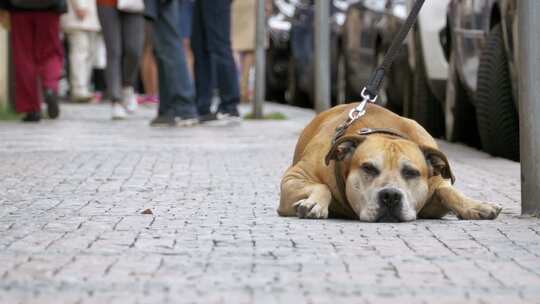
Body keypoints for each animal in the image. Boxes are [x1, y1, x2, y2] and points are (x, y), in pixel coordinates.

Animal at [278, 103, 502, 222]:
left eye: (411, 173)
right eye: (368, 168)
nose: (391, 196)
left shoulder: (437, 184)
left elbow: (447, 190)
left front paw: (476, 205)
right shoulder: (293, 178)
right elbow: (322, 186)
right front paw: (313, 203)